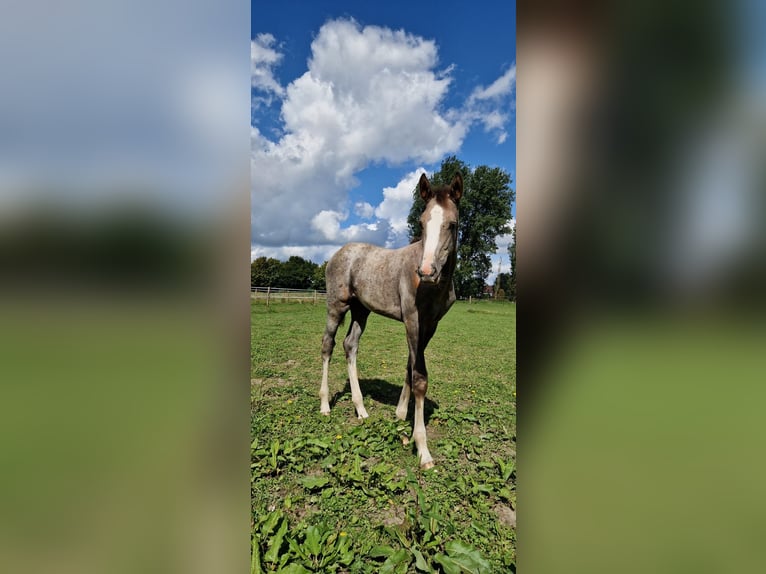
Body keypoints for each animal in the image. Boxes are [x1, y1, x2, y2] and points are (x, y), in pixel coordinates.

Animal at [318, 173, 462, 470]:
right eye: (421, 222)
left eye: (452, 224)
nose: (426, 271)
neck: (435, 287)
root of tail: (339, 253)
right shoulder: (412, 320)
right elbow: (420, 377)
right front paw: (423, 449)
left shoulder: (430, 325)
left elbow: (411, 367)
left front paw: (399, 413)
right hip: (336, 306)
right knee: (328, 345)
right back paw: (325, 405)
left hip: (361, 310)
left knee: (350, 345)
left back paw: (361, 409)